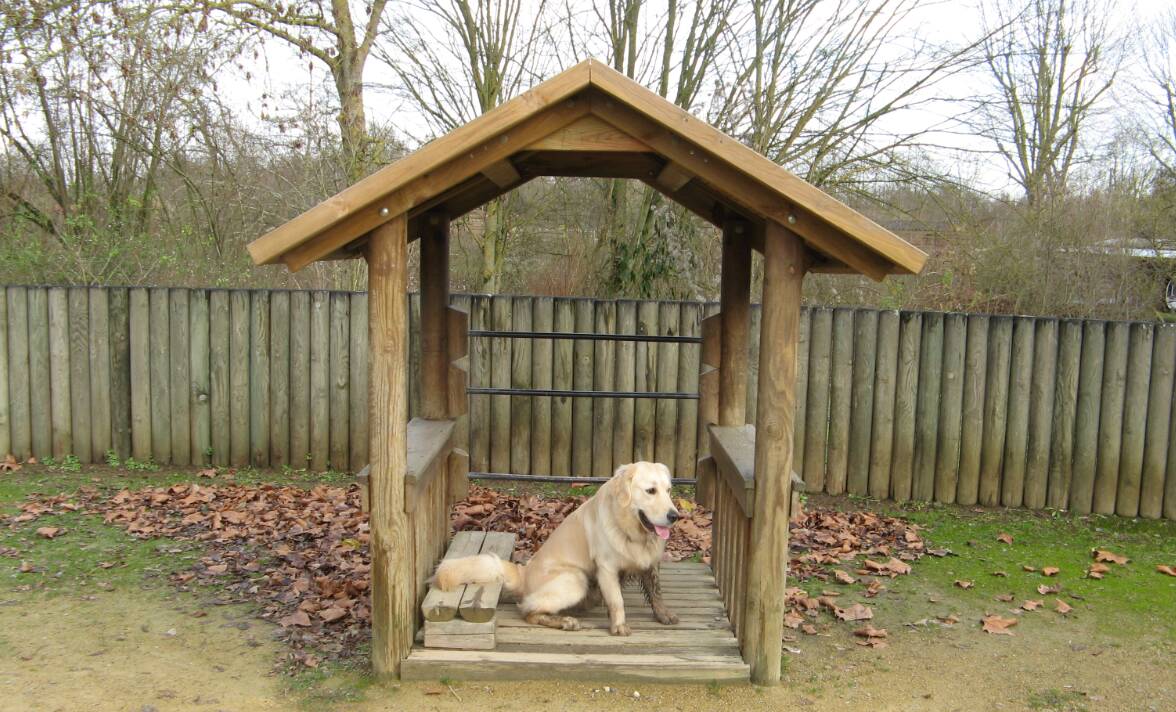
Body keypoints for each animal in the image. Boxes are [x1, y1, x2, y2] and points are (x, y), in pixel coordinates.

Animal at [437, 461, 682, 630]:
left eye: (668, 490)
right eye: (650, 490)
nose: (675, 516)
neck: (634, 532)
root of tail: (523, 573)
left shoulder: (651, 561)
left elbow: (656, 591)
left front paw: (663, 614)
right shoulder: (606, 569)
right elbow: (616, 600)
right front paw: (619, 626)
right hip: (575, 579)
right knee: (528, 611)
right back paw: (565, 621)